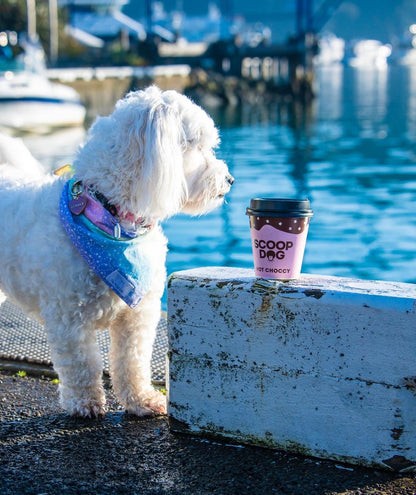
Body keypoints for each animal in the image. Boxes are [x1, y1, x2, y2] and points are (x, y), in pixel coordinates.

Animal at [0, 86, 234, 418]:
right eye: (196, 146)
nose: (230, 180)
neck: (114, 220)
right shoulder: (67, 317)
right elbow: (82, 364)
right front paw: (85, 403)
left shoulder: (138, 314)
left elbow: (132, 360)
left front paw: (141, 400)